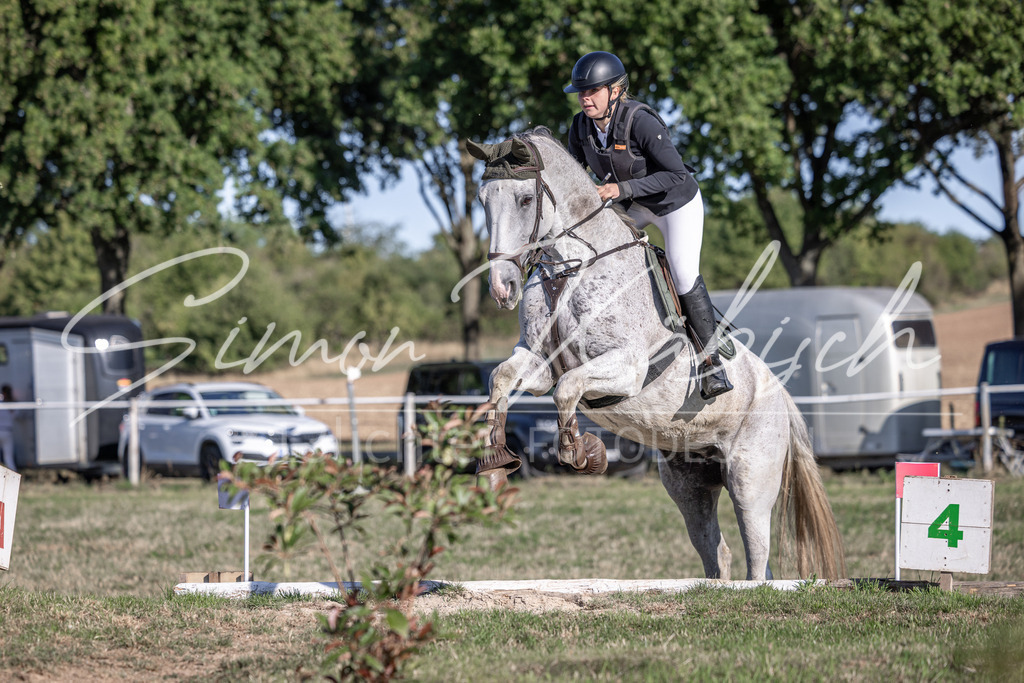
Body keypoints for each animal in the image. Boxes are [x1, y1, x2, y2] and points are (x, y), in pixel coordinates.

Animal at [466, 127, 845, 581]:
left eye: (525, 200)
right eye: (483, 199)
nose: (502, 288)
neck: (571, 268)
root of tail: (782, 394)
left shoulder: (627, 367)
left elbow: (568, 388)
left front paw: (583, 454)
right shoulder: (539, 366)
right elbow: (502, 380)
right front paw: (495, 466)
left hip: (750, 480)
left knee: (758, 560)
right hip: (688, 483)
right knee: (717, 552)